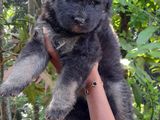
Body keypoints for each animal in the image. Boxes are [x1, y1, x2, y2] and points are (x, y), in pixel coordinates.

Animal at [0, 0, 132, 119]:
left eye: (93, 3)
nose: (80, 20)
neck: (66, 32)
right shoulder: (40, 40)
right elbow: (25, 64)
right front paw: (10, 85)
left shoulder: (83, 54)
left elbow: (67, 82)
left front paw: (57, 107)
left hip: (118, 96)